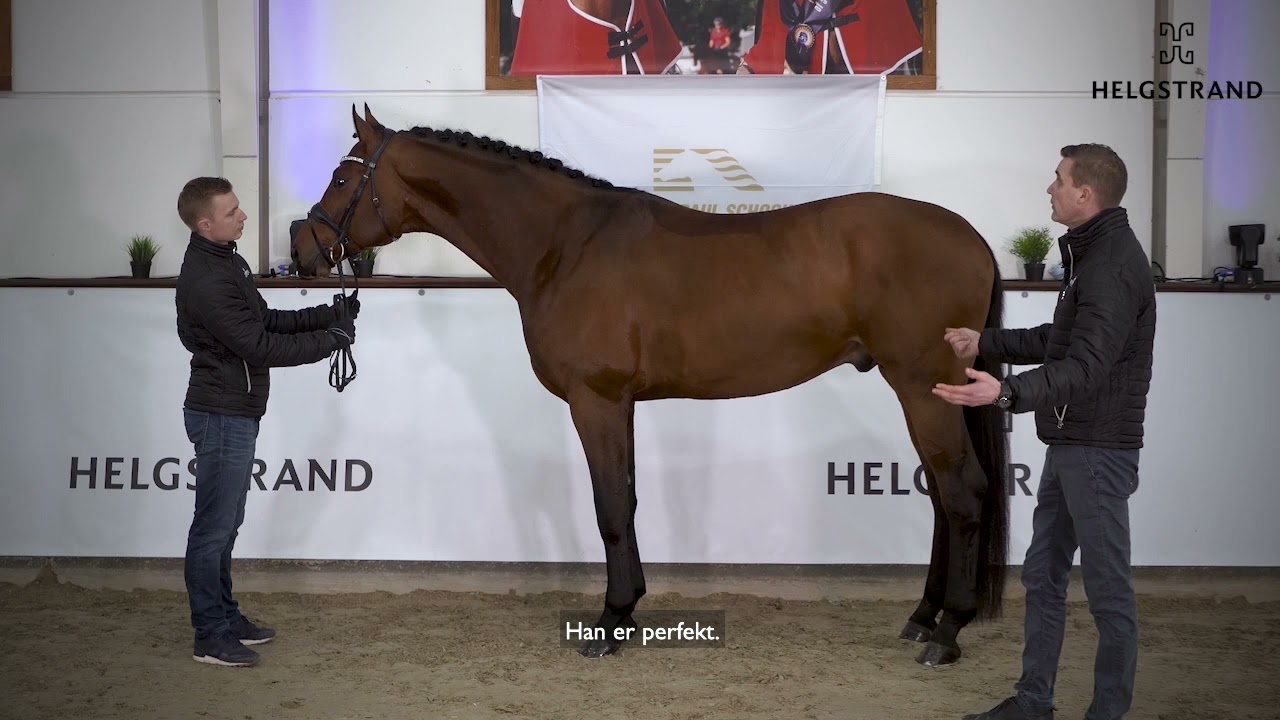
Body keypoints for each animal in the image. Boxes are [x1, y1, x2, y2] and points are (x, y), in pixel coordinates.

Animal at [292, 105, 1011, 668]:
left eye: (341, 176)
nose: (302, 250)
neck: (564, 245)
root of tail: (973, 238)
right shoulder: (622, 405)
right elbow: (629, 501)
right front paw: (630, 606)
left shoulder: (598, 401)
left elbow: (610, 508)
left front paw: (609, 622)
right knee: (943, 499)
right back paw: (922, 616)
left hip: (922, 386)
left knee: (963, 494)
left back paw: (947, 632)